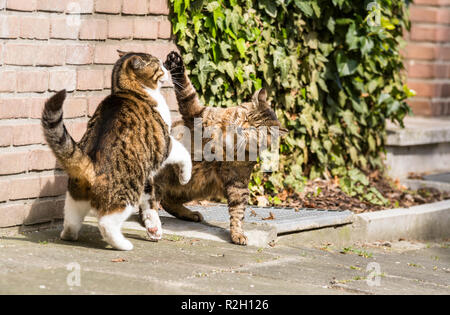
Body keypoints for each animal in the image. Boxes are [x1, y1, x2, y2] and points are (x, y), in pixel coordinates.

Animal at [42, 52, 193, 252]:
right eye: (158, 65)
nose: (167, 68)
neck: (128, 90)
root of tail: (90, 165)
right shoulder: (164, 144)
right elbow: (183, 153)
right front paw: (185, 177)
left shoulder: (146, 172)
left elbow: (149, 200)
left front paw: (153, 228)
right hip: (127, 196)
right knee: (106, 223)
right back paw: (123, 244)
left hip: (75, 197)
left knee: (71, 218)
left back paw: (69, 235)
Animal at [148, 50, 288, 246]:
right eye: (246, 116)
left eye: (255, 129)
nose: (242, 127)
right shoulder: (197, 113)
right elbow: (187, 90)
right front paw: (176, 62)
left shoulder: (238, 182)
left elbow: (238, 211)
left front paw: (237, 233)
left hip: (194, 185)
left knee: (167, 201)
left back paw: (190, 214)